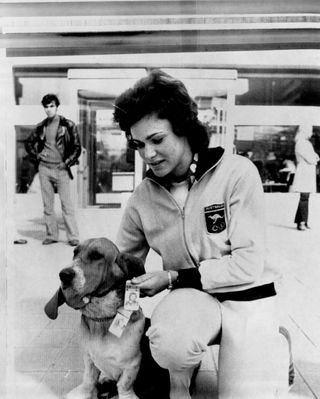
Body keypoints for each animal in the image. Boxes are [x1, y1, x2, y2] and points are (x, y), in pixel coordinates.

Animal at [44, 239, 146, 398]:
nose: (64, 274)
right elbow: (89, 380)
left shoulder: (132, 364)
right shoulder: (89, 359)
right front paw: (86, 391)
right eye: (75, 253)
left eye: (96, 256)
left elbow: (124, 385)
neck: (101, 319)